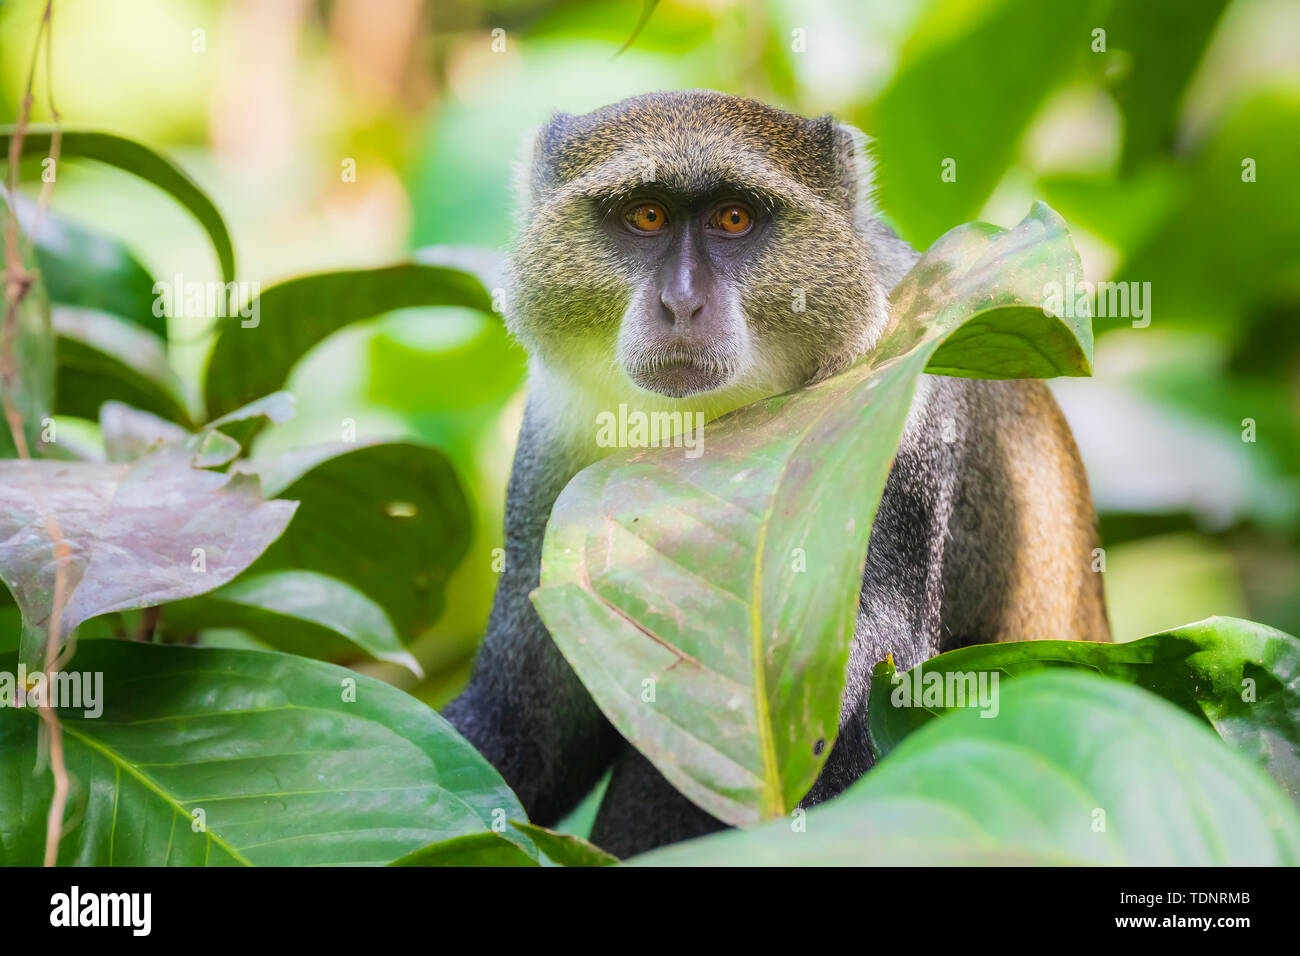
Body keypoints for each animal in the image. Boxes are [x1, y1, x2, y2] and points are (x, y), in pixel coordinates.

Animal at [444, 89, 1107, 858]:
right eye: (646, 216)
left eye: (734, 218)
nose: (680, 303)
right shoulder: (556, 424)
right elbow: (528, 730)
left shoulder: (907, 387)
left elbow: (862, 719)